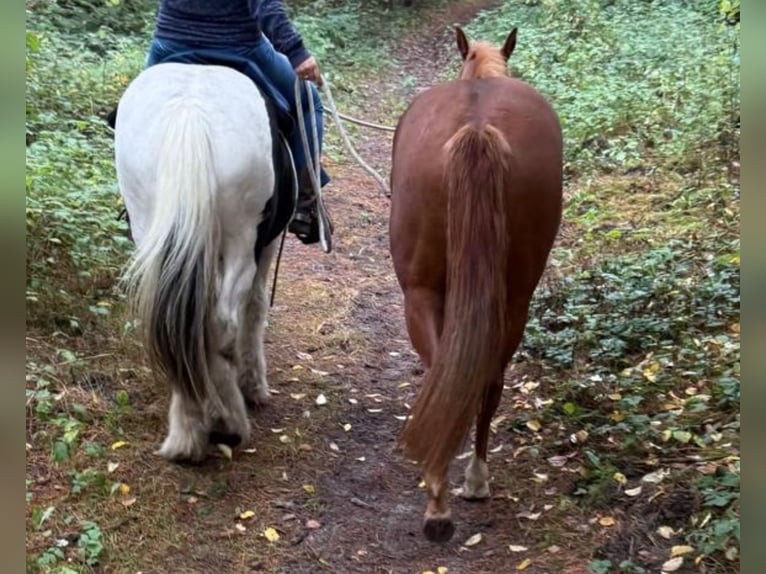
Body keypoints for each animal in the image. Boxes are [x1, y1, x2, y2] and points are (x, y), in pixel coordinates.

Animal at [114, 62, 296, 462]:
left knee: (175, 323)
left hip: (153, 228)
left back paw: (187, 434)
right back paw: (226, 423)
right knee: (221, 323)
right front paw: (253, 385)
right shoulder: (266, 243)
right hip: (242, 239)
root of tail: (190, 114)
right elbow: (255, 308)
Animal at [389, 27, 563, 542]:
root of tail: (478, 128)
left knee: (440, 370)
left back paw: (440, 498)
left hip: (420, 292)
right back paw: (473, 479)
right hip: (517, 295)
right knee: (488, 377)